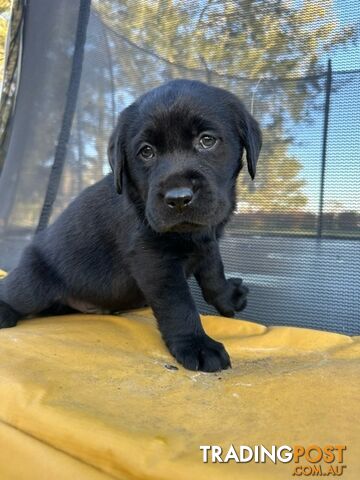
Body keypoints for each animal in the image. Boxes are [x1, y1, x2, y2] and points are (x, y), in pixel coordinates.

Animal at [0, 79, 262, 372]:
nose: (178, 198)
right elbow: (179, 304)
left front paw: (228, 297)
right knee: (14, 291)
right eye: (146, 151)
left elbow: (214, 273)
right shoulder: (155, 261)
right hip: (33, 281)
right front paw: (197, 344)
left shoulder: (207, 242)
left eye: (207, 140)